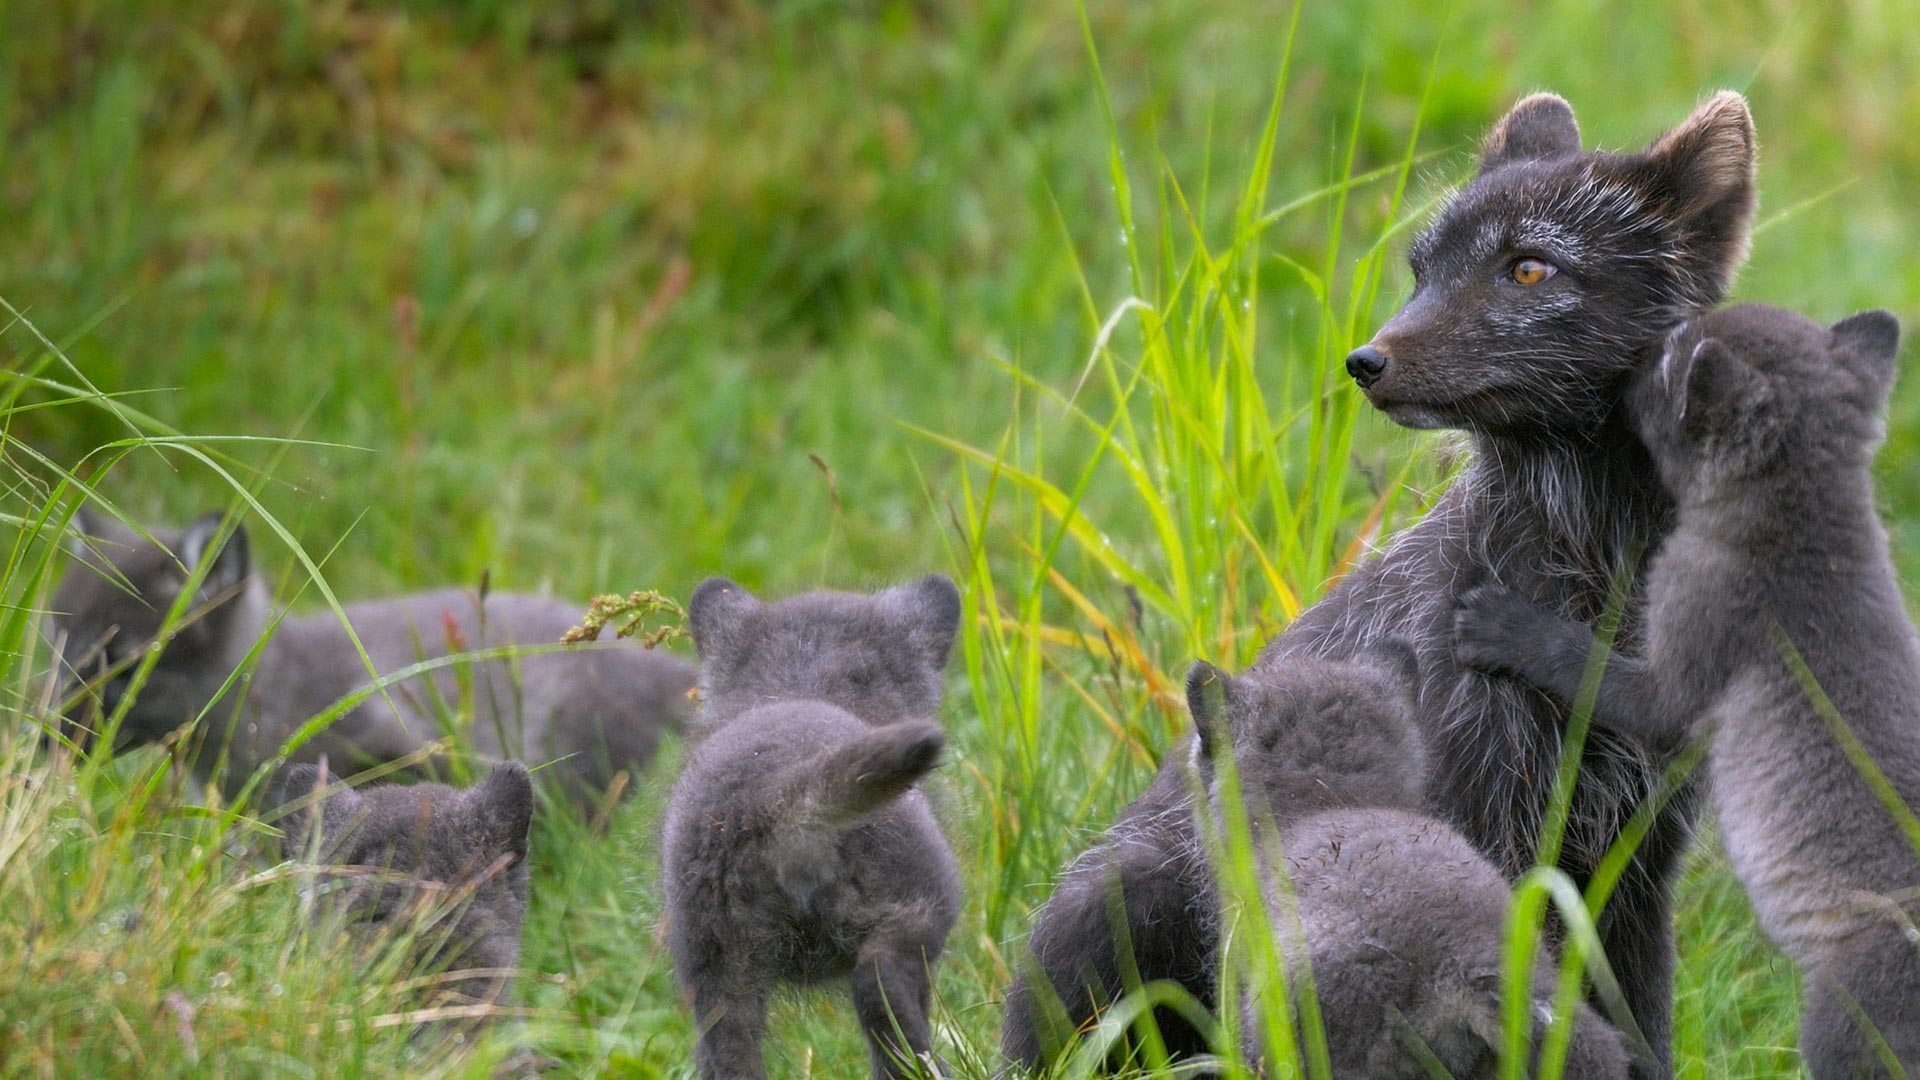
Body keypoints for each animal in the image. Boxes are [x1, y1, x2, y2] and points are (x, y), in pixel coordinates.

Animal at [1006, 92, 1758, 1076]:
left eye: (1529, 267)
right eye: (1421, 270)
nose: (1366, 361)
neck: (1595, 590)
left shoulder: (1636, 859)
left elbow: (1645, 1027)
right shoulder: (1483, 818)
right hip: (1120, 911)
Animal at [1459, 305, 1912, 1076]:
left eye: (1666, 360)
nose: (1628, 366)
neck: (1810, 529)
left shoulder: (1669, 688)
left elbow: (1578, 659)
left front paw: (1500, 624)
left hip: (1836, 1030)